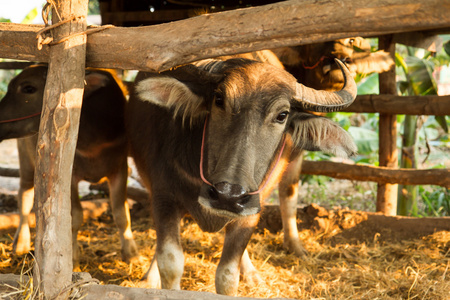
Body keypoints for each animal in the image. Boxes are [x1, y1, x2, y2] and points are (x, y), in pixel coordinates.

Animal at [0, 65, 138, 268]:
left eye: (28, 88)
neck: (94, 143)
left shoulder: (119, 169)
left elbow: (122, 214)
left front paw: (131, 253)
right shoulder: (69, 175)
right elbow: (75, 216)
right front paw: (71, 258)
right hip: (25, 158)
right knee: (24, 196)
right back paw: (21, 243)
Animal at [127, 56, 358, 296]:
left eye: (282, 115)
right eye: (219, 100)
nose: (228, 196)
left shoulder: (250, 211)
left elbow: (227, 275)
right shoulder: (163, 198)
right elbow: (170, 263)